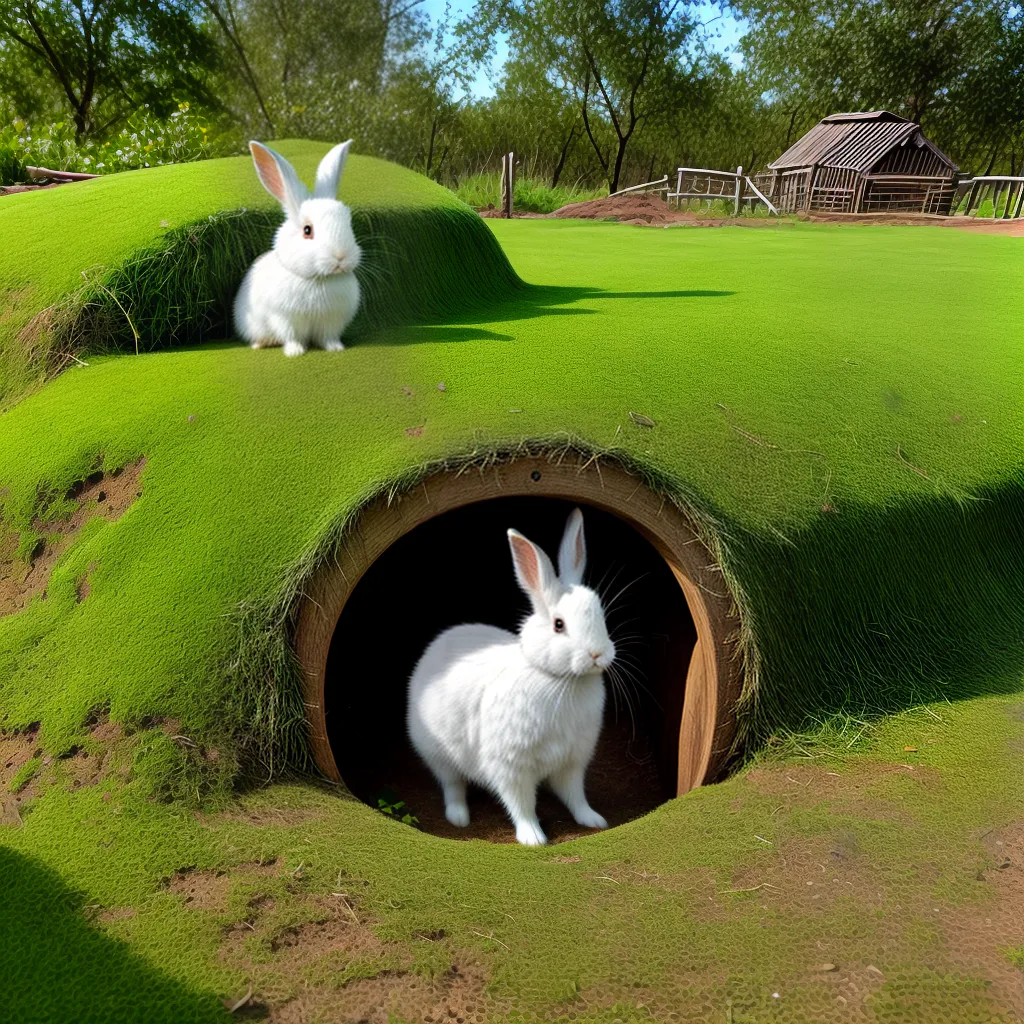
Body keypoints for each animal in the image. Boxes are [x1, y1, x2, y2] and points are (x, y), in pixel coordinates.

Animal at [234, 140, 362, 357]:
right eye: (307, 230)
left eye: (349, 223)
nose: (340, 257)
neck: (318, 280)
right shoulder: (284, 318)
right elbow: (292, 337)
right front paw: (295, 352)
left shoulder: (332, 321)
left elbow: (328, 337)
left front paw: (335, 349)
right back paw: (260, 344)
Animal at [406, 508, 616, 846]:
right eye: (559, 625)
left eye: (601, 616)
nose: (599, 654)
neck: (558, 679)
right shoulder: (511, 766)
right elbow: (522, 804)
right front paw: (533, 838)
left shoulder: (572, 761)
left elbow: (575, 795)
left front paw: (593, 820)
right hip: (437, 752)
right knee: (452, 785)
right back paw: (459, 818)